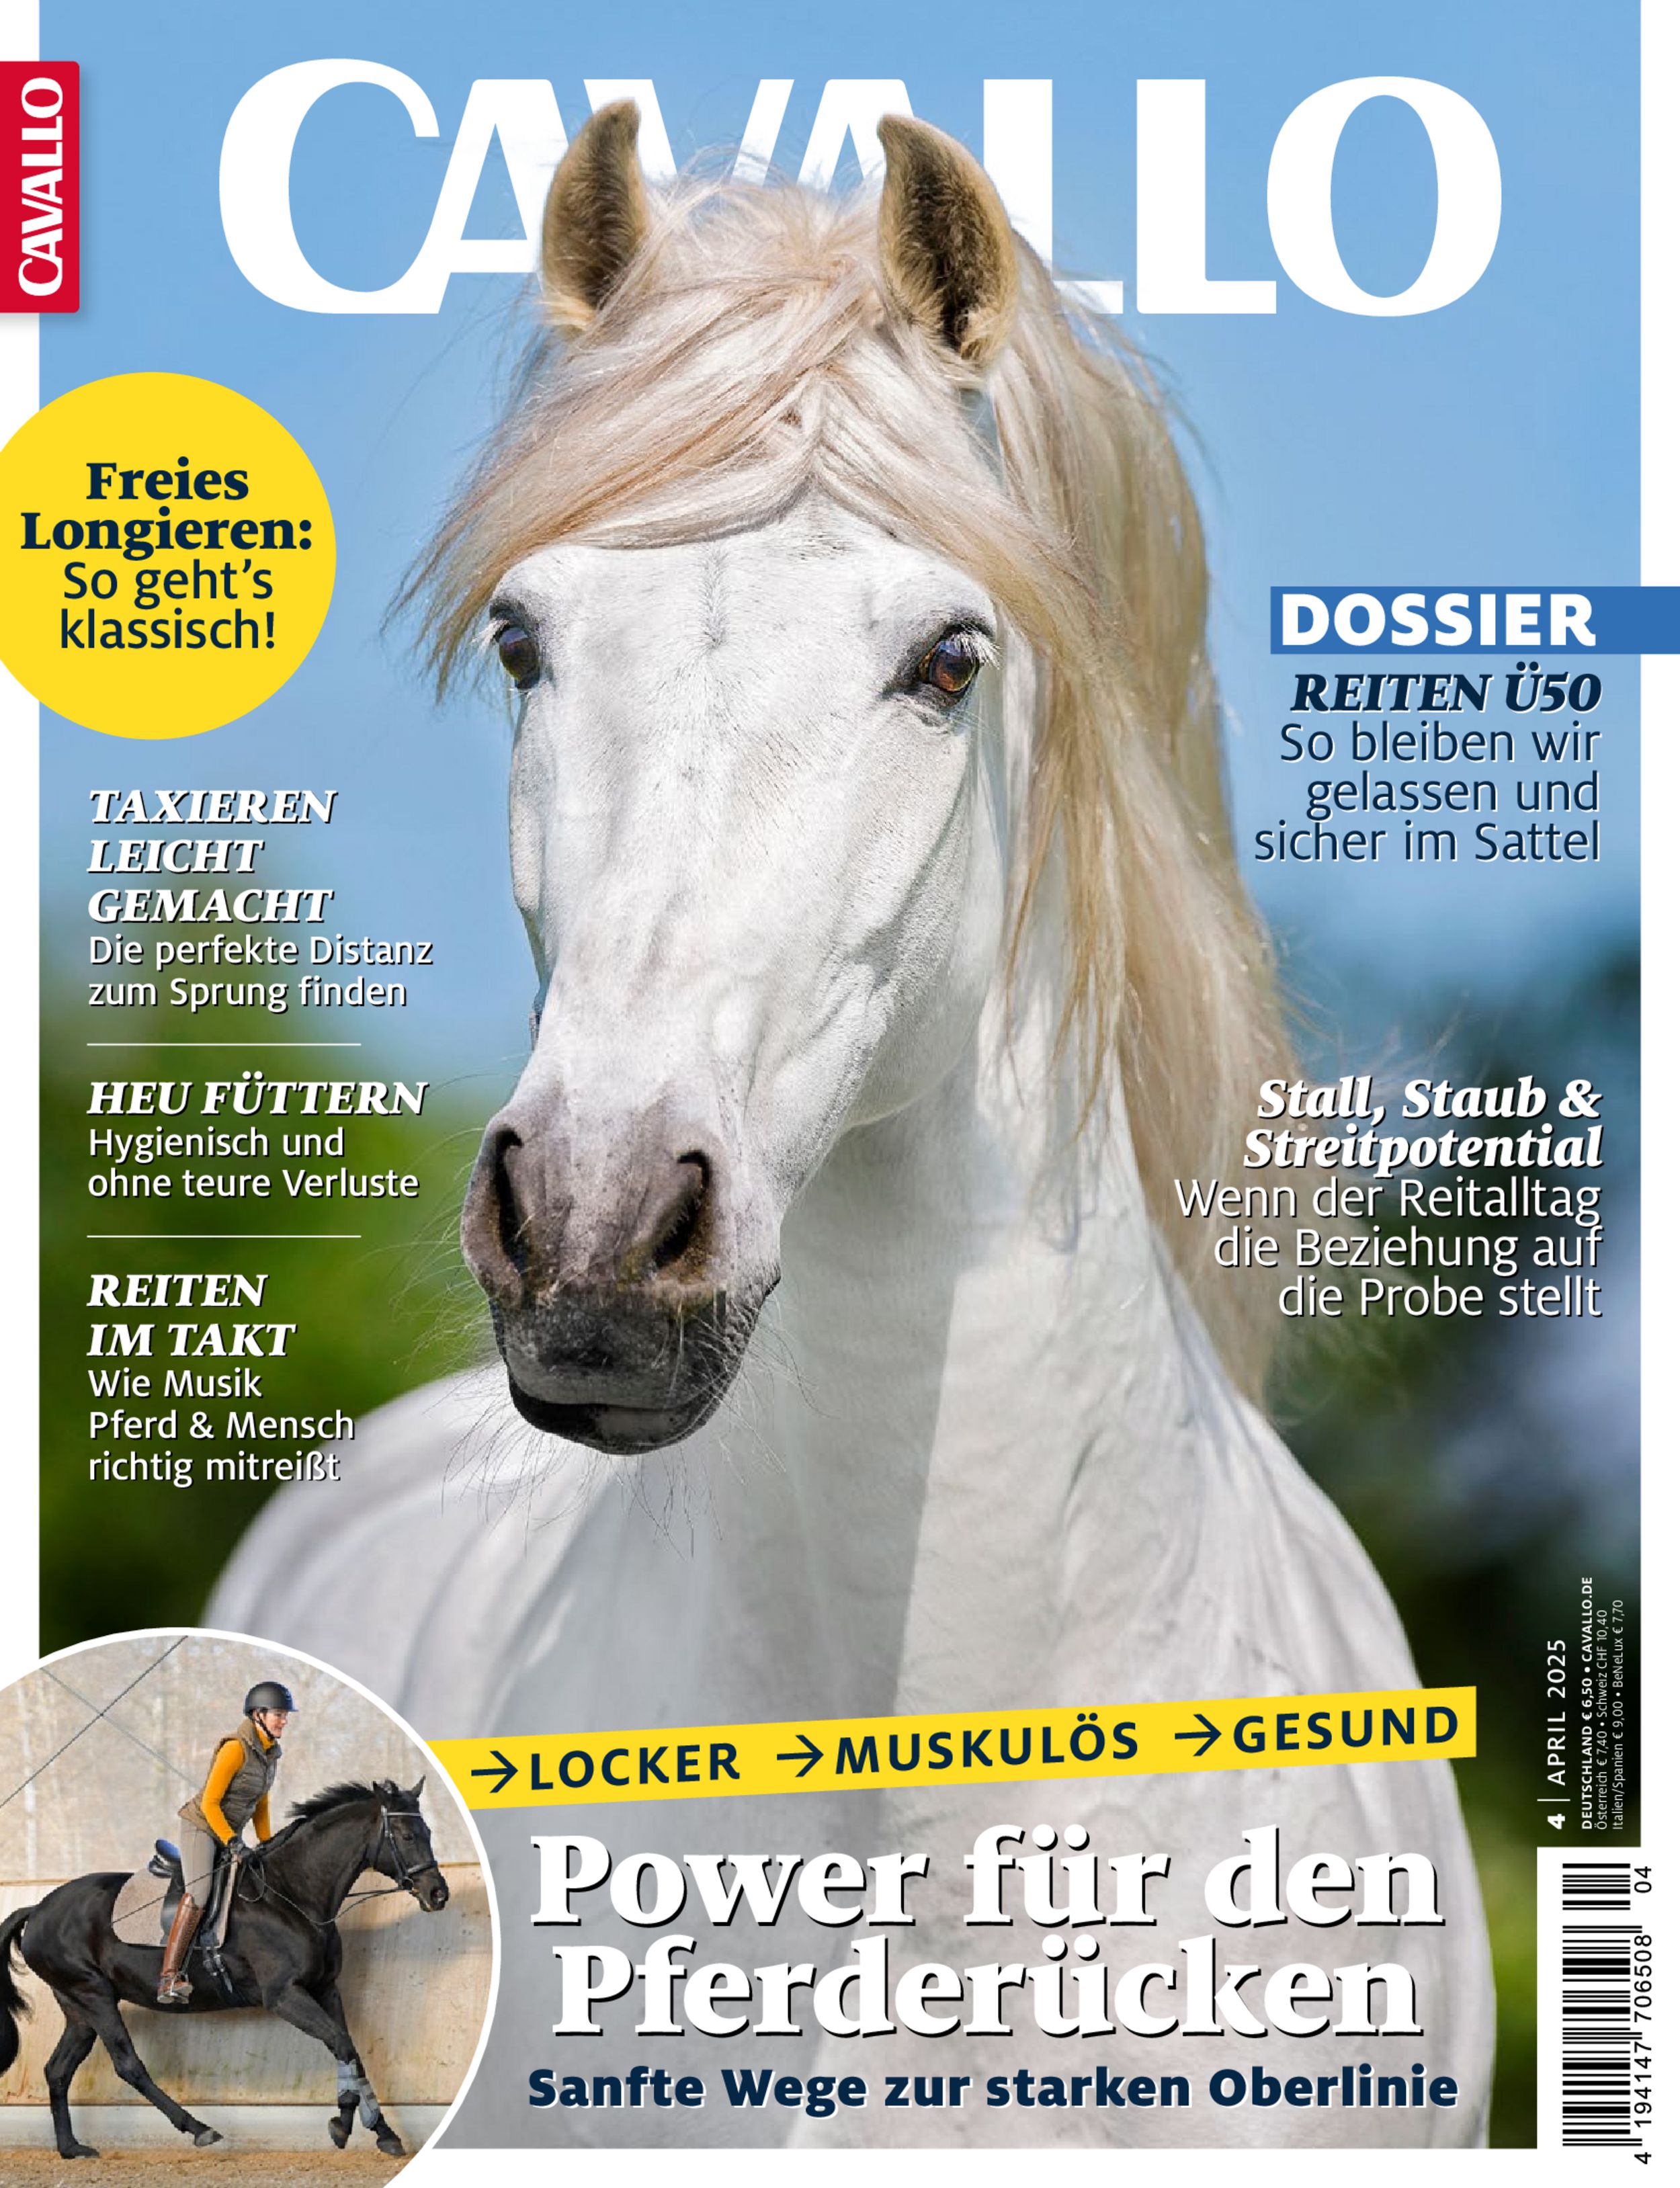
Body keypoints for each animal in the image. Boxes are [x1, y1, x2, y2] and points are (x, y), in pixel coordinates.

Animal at [0, 1779, 447, 2160]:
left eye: (428, 1833)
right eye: (407, 1836)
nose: (438, 1894)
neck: (290, 1895)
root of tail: (39, 1908)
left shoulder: (325, 1989)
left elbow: (350, 2049)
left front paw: (378, 2131)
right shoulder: (285, 1995)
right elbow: (342, 2044)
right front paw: (347, 2122)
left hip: (78, 2007)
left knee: (58, 2070)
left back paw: (71, 2148)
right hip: (93, 1995)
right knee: (128, 2064)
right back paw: (199, 2129)